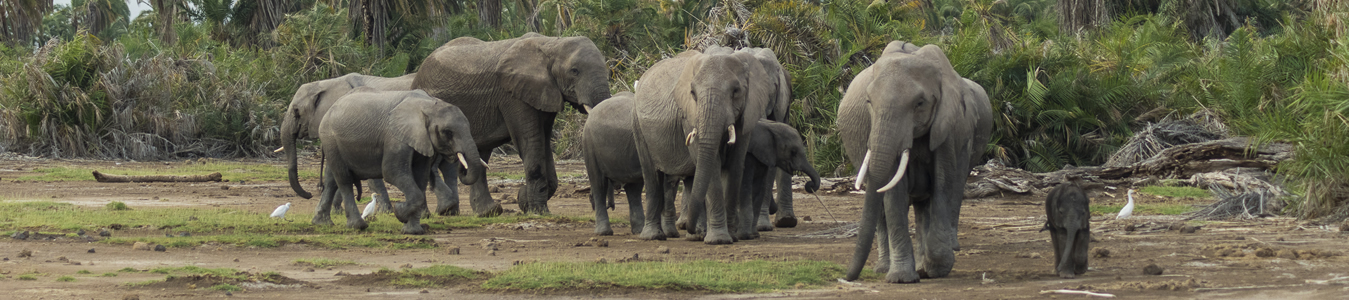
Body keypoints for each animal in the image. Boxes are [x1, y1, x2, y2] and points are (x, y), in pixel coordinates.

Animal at [314, 89, 485, 233]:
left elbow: (420, 176)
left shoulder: (422, 140)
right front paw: (399, 212)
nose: (461, 163)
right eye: (448, 132)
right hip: (330, 139)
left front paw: (413, 231)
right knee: (344, 179)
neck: (428, 104)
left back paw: (322, 223)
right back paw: (358, 226)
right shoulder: (395, 137)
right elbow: (392, 172)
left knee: (331, 179)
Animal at [412, 32, 615, 216]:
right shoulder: (513, 96)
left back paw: (486, 212)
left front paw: (524, 202)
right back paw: (438, 212)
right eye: (574, 71)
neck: (551, 43)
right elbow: (530, 142)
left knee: (481, 153)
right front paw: (538, 211)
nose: (595, 204)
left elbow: (544, 142)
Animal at [582, 91, 679, 236]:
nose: (611, 206)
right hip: (589, 144)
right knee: (599, 183)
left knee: (634, 188)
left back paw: (639, 230)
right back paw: (604, 232)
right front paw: (669, 233)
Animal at [634, 47, 766, 243]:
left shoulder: (747, 113)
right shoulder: (689, 117)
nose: (686, 227)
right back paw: (654, 236)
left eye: (736, 91)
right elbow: (713, 168)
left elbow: (735, 167)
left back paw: (695, 235)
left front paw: (732, 236)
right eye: (693, 93)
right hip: (638, 125)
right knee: (651, 175)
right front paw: (719, 240)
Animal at [836, 42, 998, 283]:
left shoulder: (950, 127)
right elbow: (893, 192)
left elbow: (944, 182)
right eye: (869, 102)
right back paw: (885, 269)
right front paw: (902, 278)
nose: (847, 277)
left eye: (920, 103)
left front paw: (936, 268)